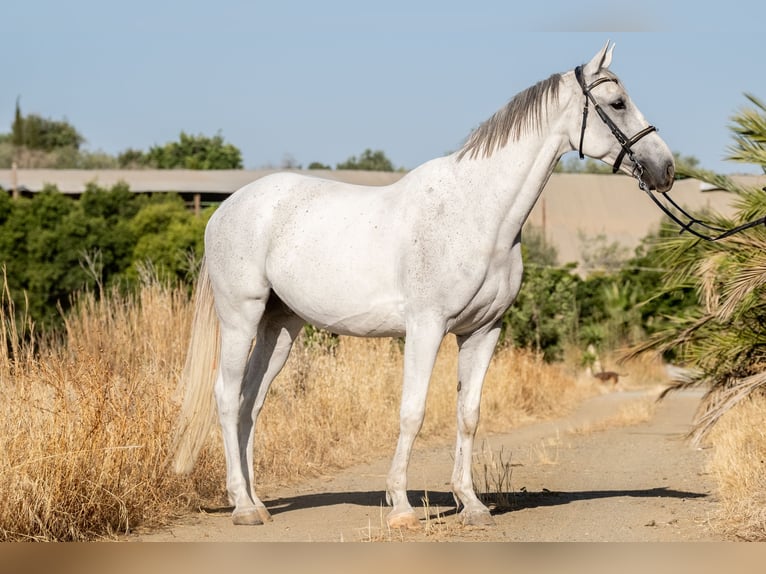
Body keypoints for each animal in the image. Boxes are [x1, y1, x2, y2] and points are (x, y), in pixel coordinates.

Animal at [171, 41, 676, 532]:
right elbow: (412, 413)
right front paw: (400, 508)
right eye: (617, 102)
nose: (665, 169)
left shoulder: (483, 332)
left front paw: (471, 505)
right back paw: (242, 507)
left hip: (279, 328)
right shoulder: (426, 328)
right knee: (226, 397)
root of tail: (224, 209)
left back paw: (257, 503)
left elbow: (468, 416)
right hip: (241, 318)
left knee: (250, 403)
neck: (478, 212)